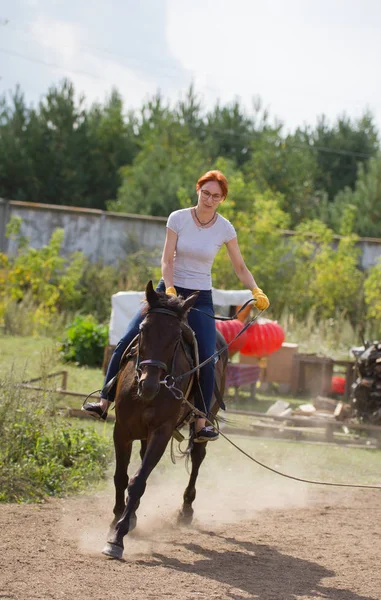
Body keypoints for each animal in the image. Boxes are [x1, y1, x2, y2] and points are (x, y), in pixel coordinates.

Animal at [101, 282, 226, 556]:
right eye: (142, 330)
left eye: (177, 337)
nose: (148, 385)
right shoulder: (122, 430)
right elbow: (121, 477)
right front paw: (118, 519)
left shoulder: (162, 431)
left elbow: (138, 481)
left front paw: (117, 537)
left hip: (203, 423)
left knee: (197, 458)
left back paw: (185, 511)